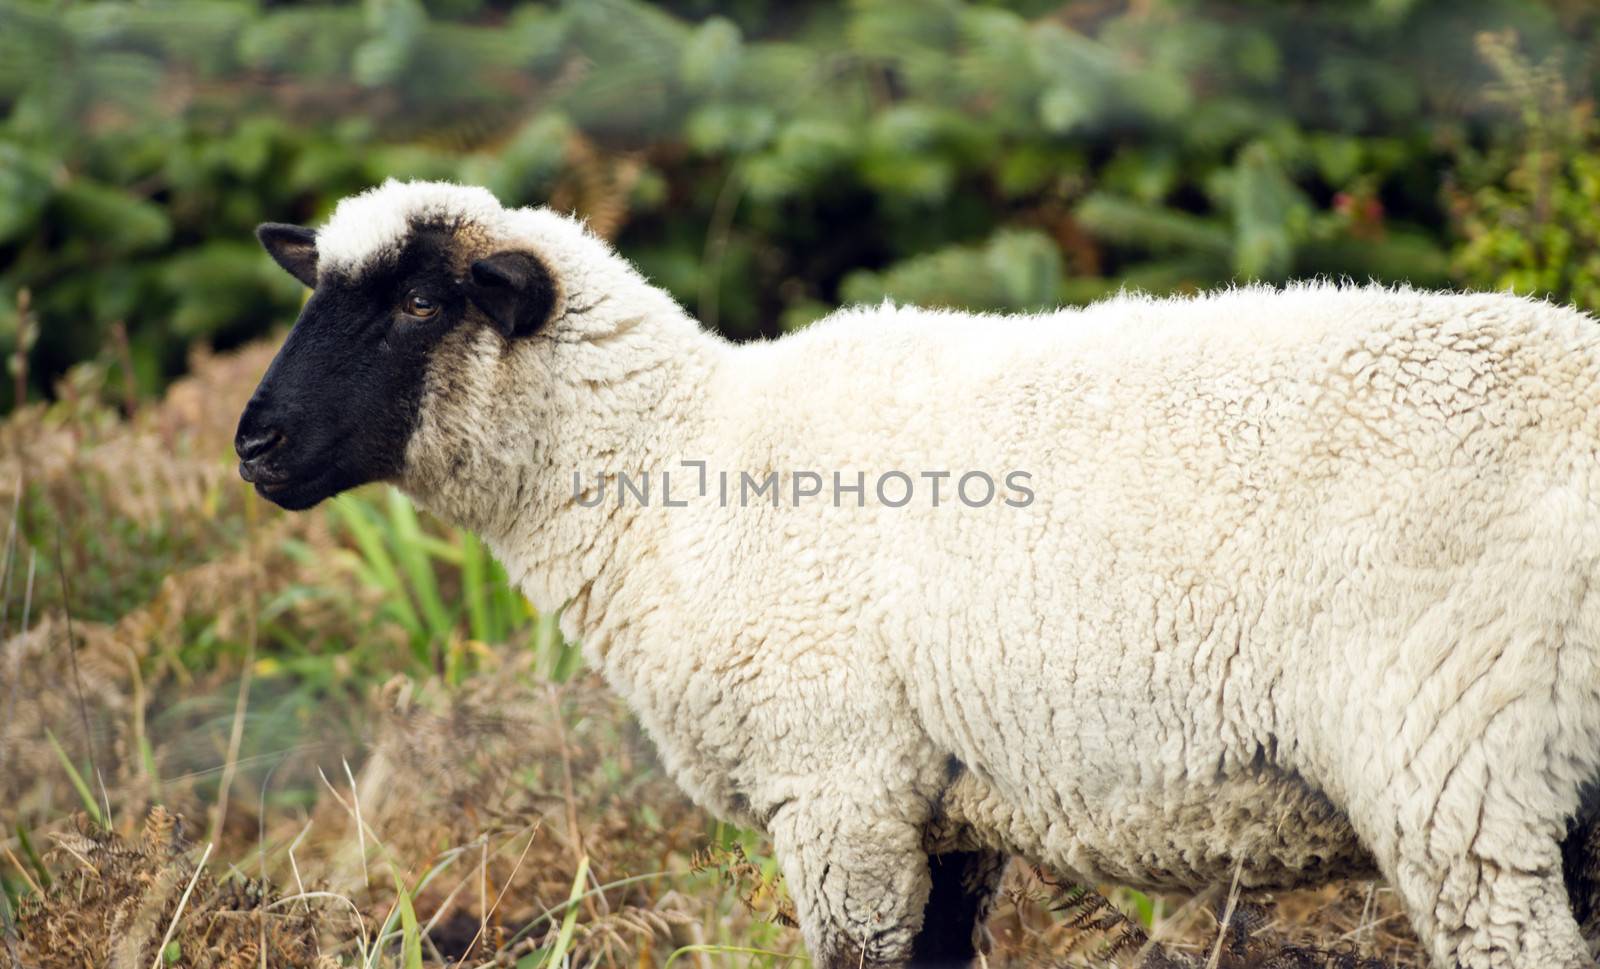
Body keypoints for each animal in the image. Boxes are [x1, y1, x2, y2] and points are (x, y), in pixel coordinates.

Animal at [236, 176, 1600, 969]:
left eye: (421, 304)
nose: (256, 445)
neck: (674, 464)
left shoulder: (837, 784)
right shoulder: (943, 807)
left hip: (1460, 767)